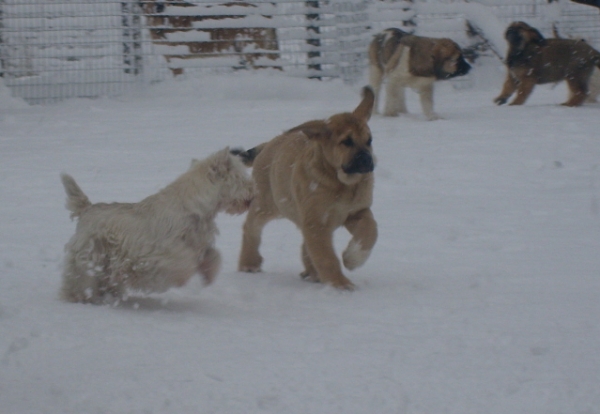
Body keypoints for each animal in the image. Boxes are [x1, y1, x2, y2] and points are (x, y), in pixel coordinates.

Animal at [61, 147, 255, 302]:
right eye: (241, 177)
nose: (254, 191)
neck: (195, 206)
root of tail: (86, 209)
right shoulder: (164, 250)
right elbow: (183, 261)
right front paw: (182, 276)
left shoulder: (201, 243)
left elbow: (214, 255)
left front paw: (209, 274)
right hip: (88, 256)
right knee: (78, 279)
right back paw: (78, 296)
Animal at [233, 87, 376, 290]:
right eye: (346, 141)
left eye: (369, 140)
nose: (367, 161)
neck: (341, 183)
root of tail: (270, 143)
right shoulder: (316, 222)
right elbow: (326, 256)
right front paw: (340, 284)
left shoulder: (358, 211)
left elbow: (370, 231)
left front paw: (353, 258)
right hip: (269, 204)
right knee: (251, 227)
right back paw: (249, 263)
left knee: (305, 245)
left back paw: (311, 272)